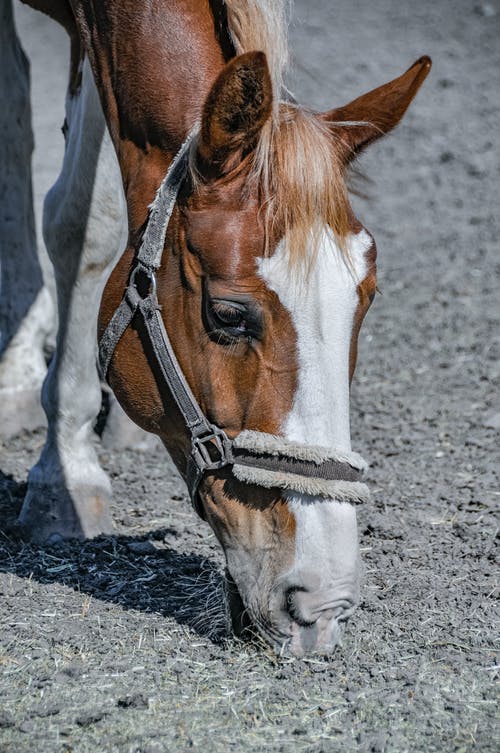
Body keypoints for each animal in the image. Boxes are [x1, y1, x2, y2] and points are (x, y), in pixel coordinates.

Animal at [0, 0, 430, 656]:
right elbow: (75, 220)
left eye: (367, 299)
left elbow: (94, 215)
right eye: (228, 315)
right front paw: (64, 478)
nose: (322, 602)